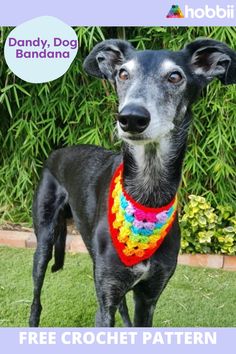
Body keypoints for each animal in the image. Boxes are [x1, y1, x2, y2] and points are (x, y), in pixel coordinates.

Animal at [29, 38, 236, 326]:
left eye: (175, 76)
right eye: (123, 74)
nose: (132, 118)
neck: (146, 195)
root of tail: (57, 152)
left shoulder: (148, 298)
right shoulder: (105, 300)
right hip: (45, 239)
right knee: (36, 297)